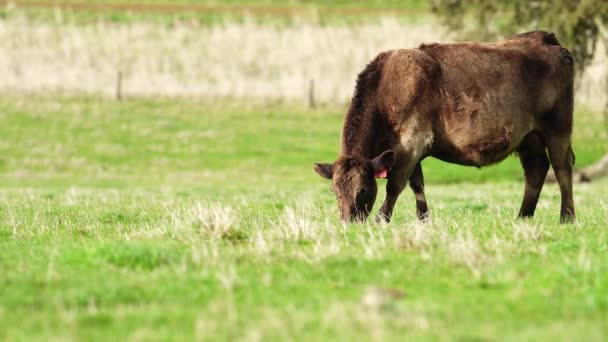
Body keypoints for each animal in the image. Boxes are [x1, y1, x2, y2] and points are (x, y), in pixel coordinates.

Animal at [316, 30, 576, 223]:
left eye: (362, 189)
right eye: (333, 191)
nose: (348, 222)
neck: (386, 91)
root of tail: (546, 39)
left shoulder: (412, 143)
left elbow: (395, 184)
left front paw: (382, 218)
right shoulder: (409, 150)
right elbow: (417, 184)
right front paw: (423, 219)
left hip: (558, 128)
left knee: (562, 168)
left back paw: (567, 217)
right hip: (529, 137)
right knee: (536, 170)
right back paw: (523, 216)